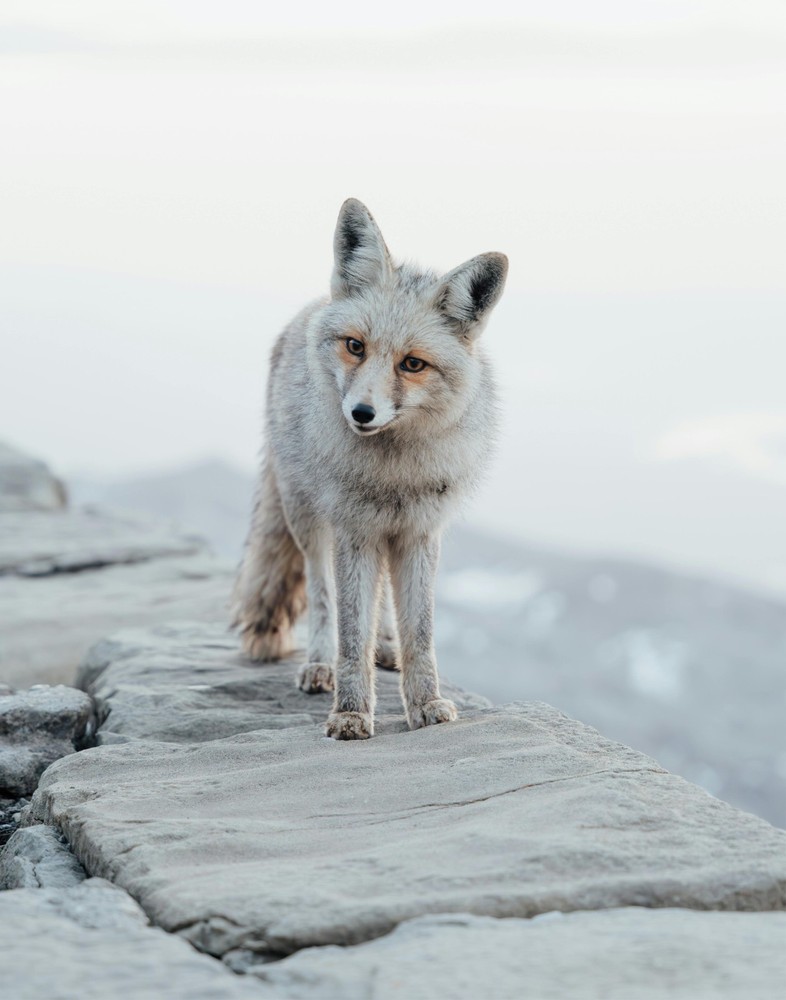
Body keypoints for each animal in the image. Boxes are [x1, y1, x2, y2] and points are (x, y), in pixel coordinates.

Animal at [232, 198, 507, 740]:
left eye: (413, 364)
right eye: (355, 346)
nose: (361, 413)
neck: (392, 474)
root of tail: (312, 305)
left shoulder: (419, 532)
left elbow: (419, 631)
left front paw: (426, 703)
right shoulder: (353, 530)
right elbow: (349, 629)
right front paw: (350, 712)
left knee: (380, 602)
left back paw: (386, 648)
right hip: (306, 517)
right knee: (321, 595)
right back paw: (320, 664)